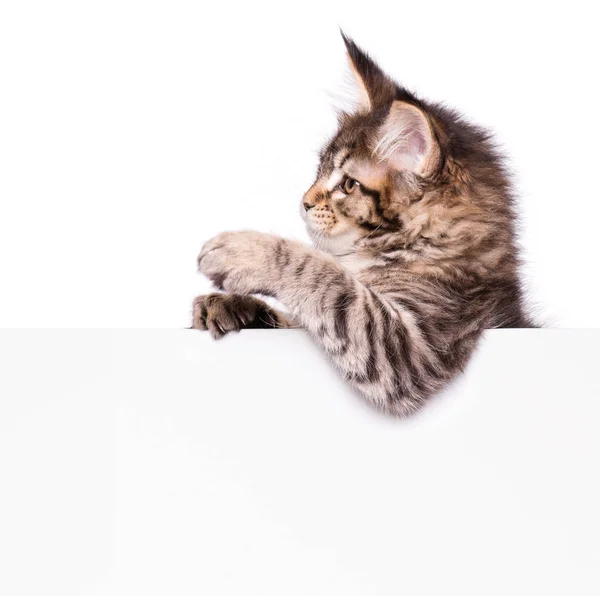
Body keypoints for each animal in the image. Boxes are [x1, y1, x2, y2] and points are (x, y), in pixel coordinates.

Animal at [191, 32, 536, 414]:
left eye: (348, 185)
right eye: (320, 169)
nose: (304, 203)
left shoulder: (413, 343)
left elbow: (326, 278)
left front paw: (244, 252)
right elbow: (297, 318)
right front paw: (232, 305)